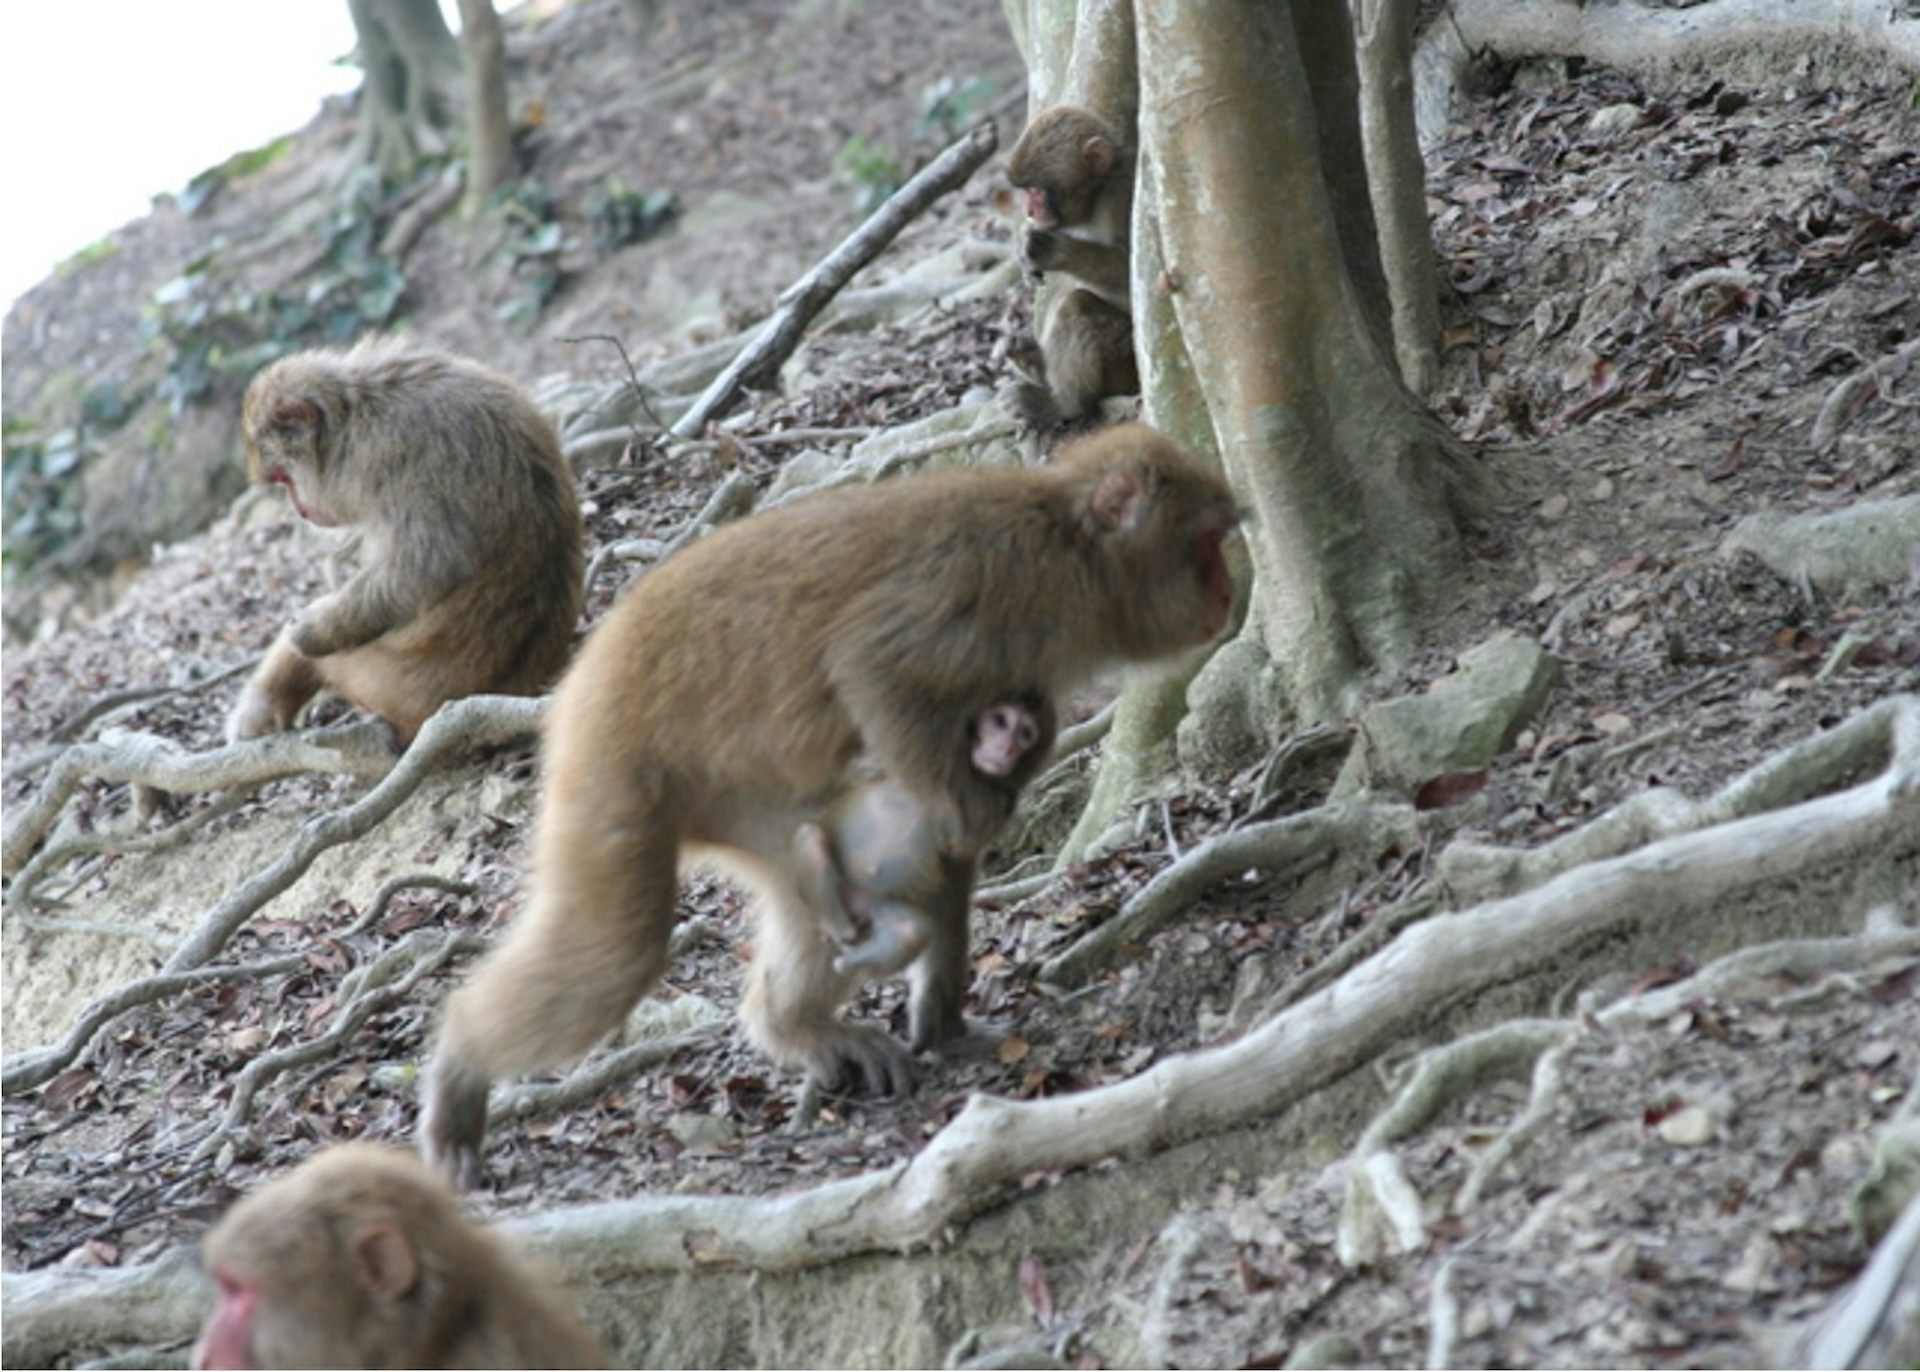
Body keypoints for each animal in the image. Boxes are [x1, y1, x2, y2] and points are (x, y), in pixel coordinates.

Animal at [225, 338, 584, 750]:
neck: (355, 414)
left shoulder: (386, 453)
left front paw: (312, 628)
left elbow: (421, 572)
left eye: (284, 478)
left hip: (383, 679)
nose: (299, 510)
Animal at [798, 693, 1054, 977]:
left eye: (1025, 734)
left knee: (911, 932)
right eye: (1000, 721)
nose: (1007, 748)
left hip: (876, 900)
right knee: (809, 838)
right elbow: (857, 770)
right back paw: (836, 926)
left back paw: (849, 958)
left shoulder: (999, 802)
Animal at [1000, 105, 1139, 432]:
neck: (1098, 192)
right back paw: (1031, 360)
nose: (1030, 211)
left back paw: (1065, 404)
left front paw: (1052, 250)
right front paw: (1023, 242)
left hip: (1126, 361)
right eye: (1027, 191)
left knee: (1075, 304)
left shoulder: (1122, 197)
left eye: (1037, 190)